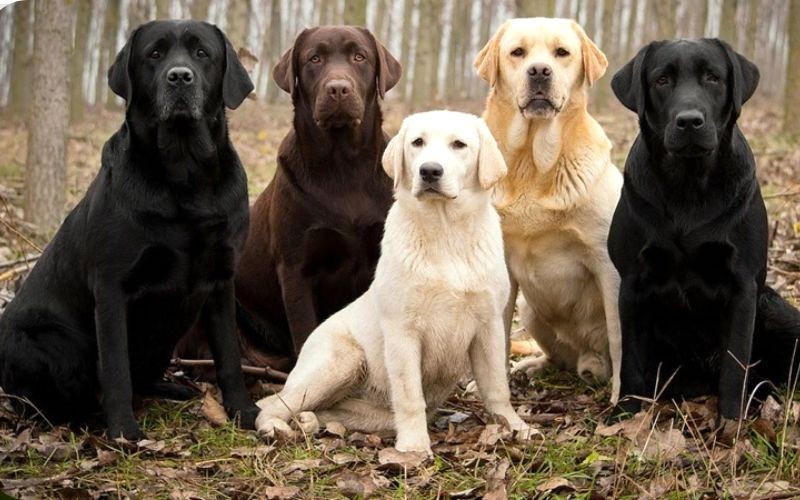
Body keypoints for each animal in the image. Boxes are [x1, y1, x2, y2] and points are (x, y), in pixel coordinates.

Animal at [0, 21, 258, 440]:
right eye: (154, 54)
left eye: (202, 53)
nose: (179, 77)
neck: (184, 173)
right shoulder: (111, 285)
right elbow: (115, 367)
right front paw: (123, 432)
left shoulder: (222, 277)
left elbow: (230, 356)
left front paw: (244, 411)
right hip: (49, 343)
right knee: (45, 402)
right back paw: (85, 419)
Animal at [253, 111, 536, 456]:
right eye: (417, 142)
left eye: (459, 144)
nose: (429, 171)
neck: (445, 233)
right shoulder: (403, 332)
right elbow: (410, 395)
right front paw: (414, 447)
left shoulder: (489, 326)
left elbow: (497, 387)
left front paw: (515, 427)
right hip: (343, 359)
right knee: (271, 403)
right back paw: (274, 428)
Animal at [476, 18, 624, 402]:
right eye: (517, 52)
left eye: (562, 52)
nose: (540, 71)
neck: (532, 161)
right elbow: (497, 336)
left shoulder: (608, 263)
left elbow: (619, 337)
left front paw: (622, 398)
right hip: (530, 310)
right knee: (558, 358)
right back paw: (534, 366)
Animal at [608, 40, 800, 422]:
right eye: (662, 80)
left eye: (713, 77)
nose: (689, 121)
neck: (688, 185)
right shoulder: (632, 283)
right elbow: (631, 362)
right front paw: (624, 416)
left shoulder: (743, 286)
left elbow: (734, 364)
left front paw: (731, 423)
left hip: (777, 312)